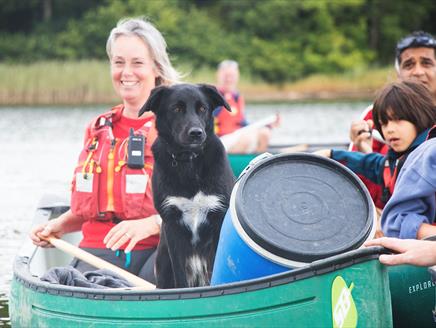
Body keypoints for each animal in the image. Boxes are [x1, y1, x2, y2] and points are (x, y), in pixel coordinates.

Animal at [139, 83, 235, 288]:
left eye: (203, 108)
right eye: (176, 109)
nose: (196, 133)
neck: (189, 161)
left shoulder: (218, 218)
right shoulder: (172, 225)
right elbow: (180, 276)